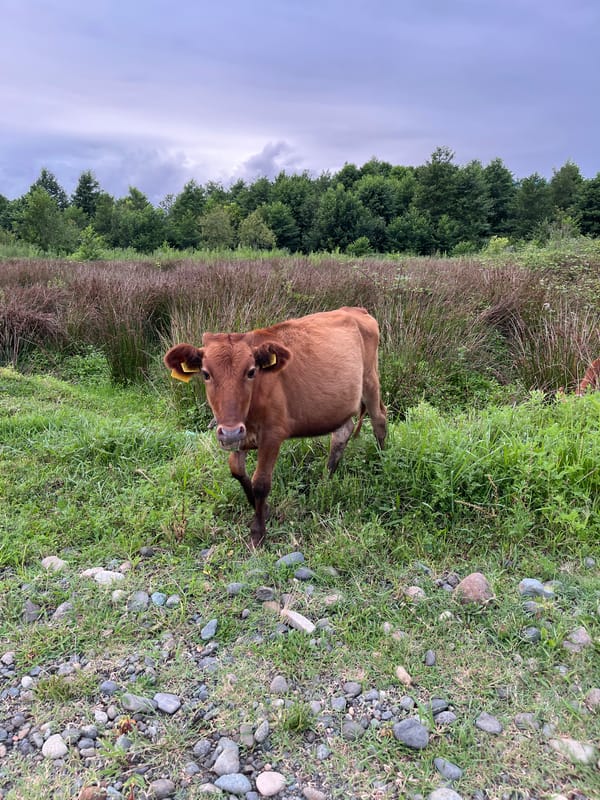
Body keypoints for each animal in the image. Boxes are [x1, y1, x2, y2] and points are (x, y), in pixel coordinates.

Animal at [165, 306, 387, 547]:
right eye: (206, 374)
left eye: (251, 371)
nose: (230, 431)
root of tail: (354, 309)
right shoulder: (240, 436)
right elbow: (238, 471)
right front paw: (264, 510)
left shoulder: (273, 434)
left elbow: (261, 482)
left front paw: (258, 533)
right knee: (342, 433)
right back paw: (326, 479)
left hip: (370, 380)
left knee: (379, 421)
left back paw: (383, 462)